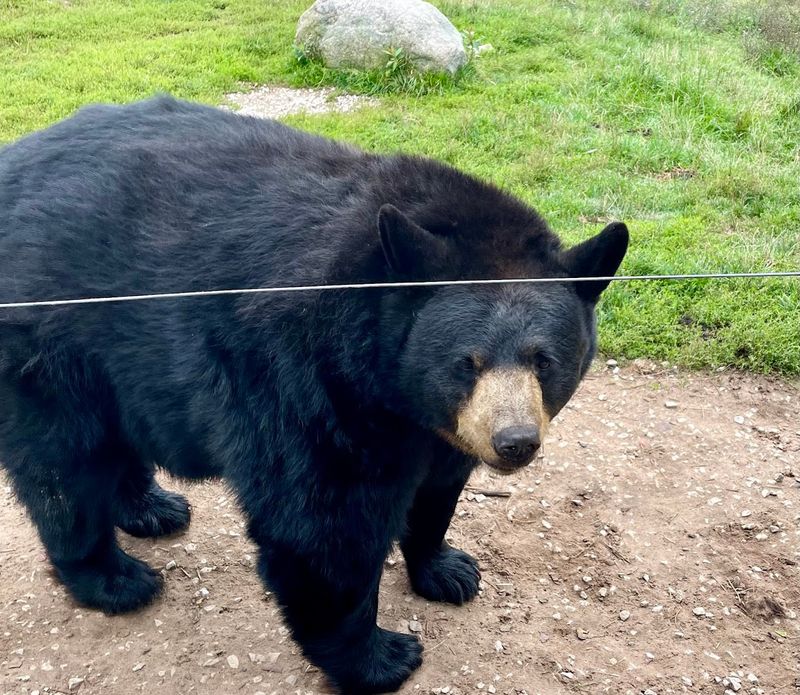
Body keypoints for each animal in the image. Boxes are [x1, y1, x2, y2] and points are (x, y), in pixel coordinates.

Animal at [0, 96, 628, 694]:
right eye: (466, 363)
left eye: (543, 360)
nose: (514, 442)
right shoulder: (308, 380)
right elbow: (323, 526)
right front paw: (381, 658)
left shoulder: (437, 426)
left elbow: (437, 491)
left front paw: (449, 569)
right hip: (51, 342)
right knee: (65, 467)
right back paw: (115, 578)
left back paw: (152, 508)